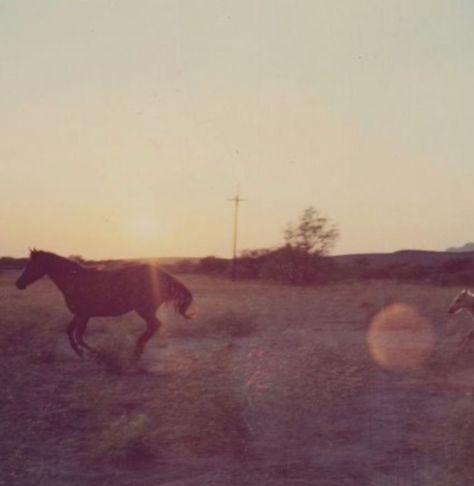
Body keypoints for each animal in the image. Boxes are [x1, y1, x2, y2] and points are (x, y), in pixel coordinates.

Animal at [15, 251, 193, 360]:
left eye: (30, 265)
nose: (19, 284)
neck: (74, 279)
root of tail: (163, 276)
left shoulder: (83, 315)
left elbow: (79, 336)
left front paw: (94, 353)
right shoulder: (80, 315)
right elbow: (71, 332)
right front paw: (80, 352)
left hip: (144, 310)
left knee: (155, 325)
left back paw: (136, 352)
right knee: (153, 326)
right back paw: (136, 352)